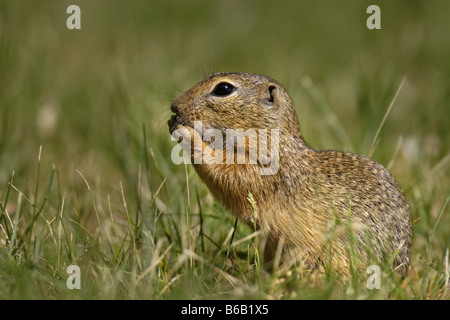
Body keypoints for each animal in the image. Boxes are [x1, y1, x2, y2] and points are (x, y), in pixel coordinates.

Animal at [168, 71, 412, 276]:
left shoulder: (261, 170)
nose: (174, 106)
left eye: (224, 88)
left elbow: (225, 174)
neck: (270, 139)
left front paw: (186, 134)